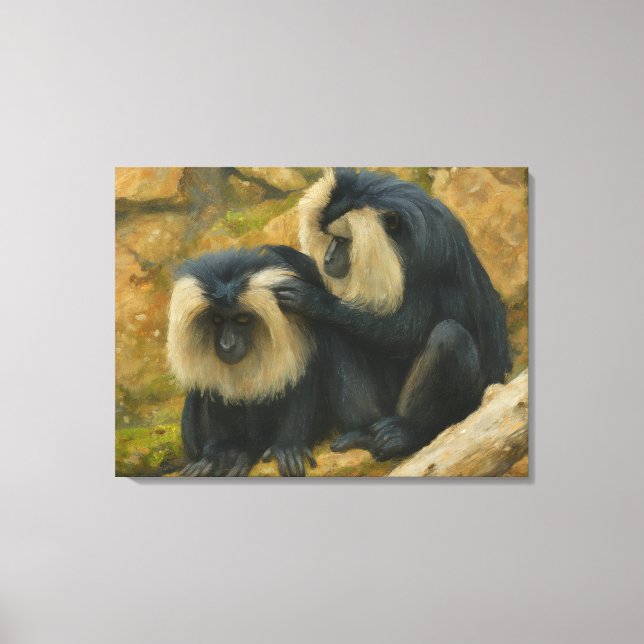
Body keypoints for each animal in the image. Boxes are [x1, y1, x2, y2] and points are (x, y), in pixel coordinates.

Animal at [167, 245, 385, 476]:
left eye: (241, 319)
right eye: (217, 320)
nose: (226, 344)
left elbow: (303, 377)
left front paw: (287, 445)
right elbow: (212, 389)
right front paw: (220, 451)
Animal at [274, 168, 511, 461]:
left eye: (342, 241)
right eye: (329, 238)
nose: (327, 259)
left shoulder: (426, 256)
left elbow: (405, 334)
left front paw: (314, 300)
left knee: (450, 337)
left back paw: (406, 434)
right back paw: (363, 433)